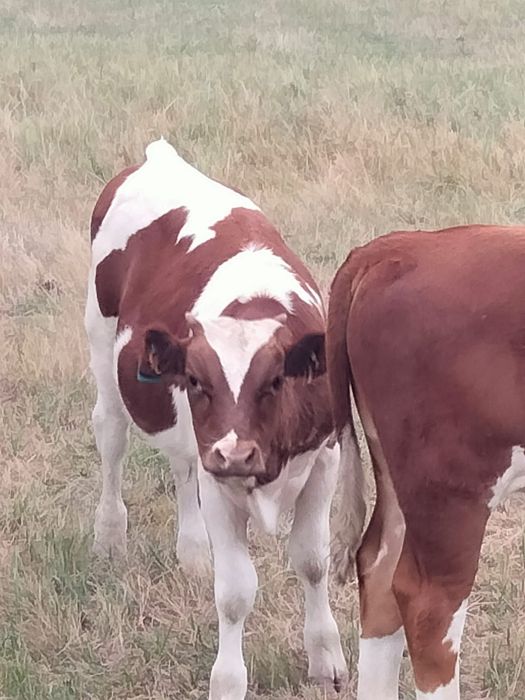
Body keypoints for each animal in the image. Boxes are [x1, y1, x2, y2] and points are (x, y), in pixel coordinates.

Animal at [85, 139, 347, 699]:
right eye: (198, 381)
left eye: (276, 381)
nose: (234, 452)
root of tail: (158, 157)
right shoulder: (220, 478)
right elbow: (235, 592)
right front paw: (227, 681)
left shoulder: (324, 462)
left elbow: (312, 561)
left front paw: (325, 656)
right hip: (101, 345)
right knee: (111, 437)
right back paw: (109, 536)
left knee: (182, 464)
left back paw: (192, 553)